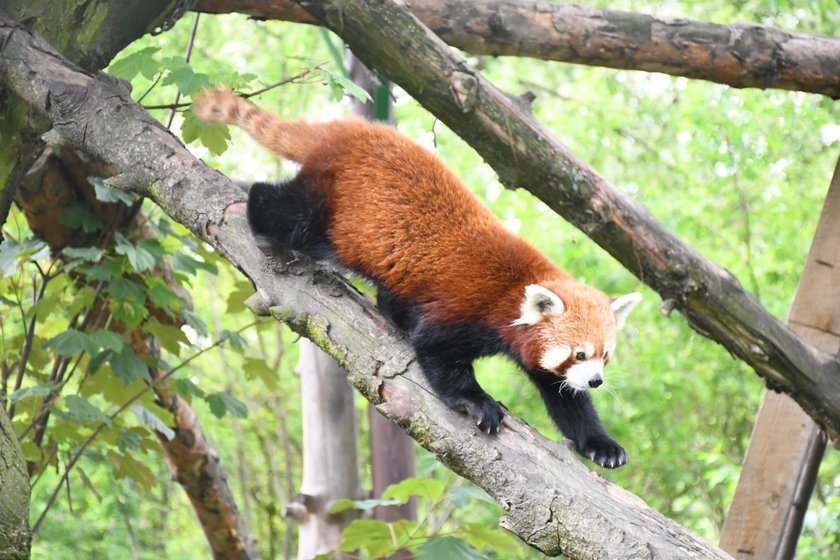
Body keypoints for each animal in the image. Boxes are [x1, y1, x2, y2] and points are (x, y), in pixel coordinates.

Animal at [195, 88, 644, 468]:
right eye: (580, 354)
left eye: (604, 355)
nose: (596, 381)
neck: (513, 292)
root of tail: (343, 130)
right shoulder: (468, 307)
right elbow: (436, 351)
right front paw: (476, 402)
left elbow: (563, 395)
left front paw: (600, 443)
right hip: (330, 205)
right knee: (287, 210)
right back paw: (259, 216)